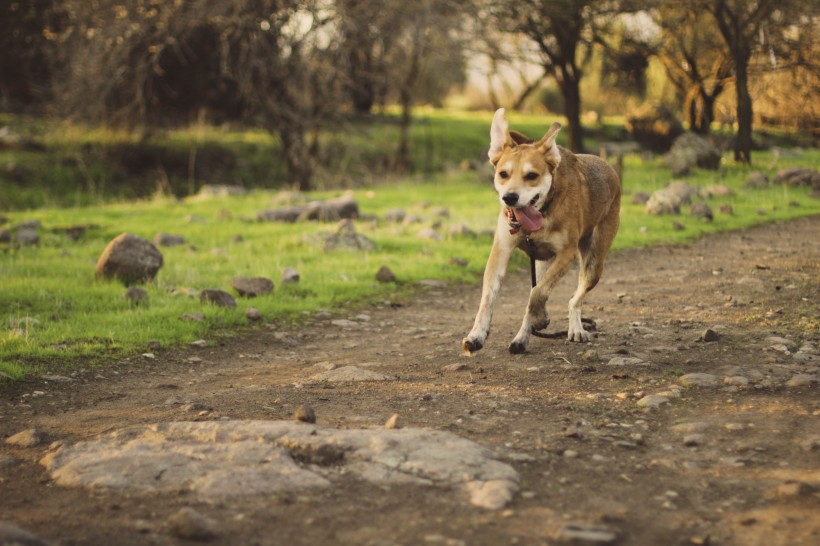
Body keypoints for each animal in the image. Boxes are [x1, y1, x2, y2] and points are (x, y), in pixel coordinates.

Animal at [462, 109, 620, 354]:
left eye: (532, 175)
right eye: (503, 174)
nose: (510, 197)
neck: (543, 211)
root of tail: (608, 167)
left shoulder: (566, 254)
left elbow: (539, 292)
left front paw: (540, 317)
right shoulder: (501, 250)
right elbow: (488, 297)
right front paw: (476, 335)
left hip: (594, 262)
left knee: (573, 299)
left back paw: (573, 327)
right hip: (542, 261)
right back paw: (521, 338)